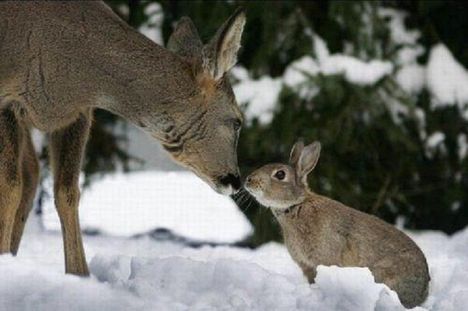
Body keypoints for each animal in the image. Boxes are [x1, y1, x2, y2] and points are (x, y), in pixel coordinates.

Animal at [0, 1, 247, 276]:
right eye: (237, 121)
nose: (235, 180)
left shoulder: (77, 114)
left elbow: (67, 192)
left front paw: (80, 275)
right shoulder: (7, 99)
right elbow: (9, 186)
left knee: (31, 173)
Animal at [245, 142, 432, 310]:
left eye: (280, 174)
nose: (249, 180)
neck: (297, 205)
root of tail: (423, 291)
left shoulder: (324, 261)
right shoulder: (307, 266)